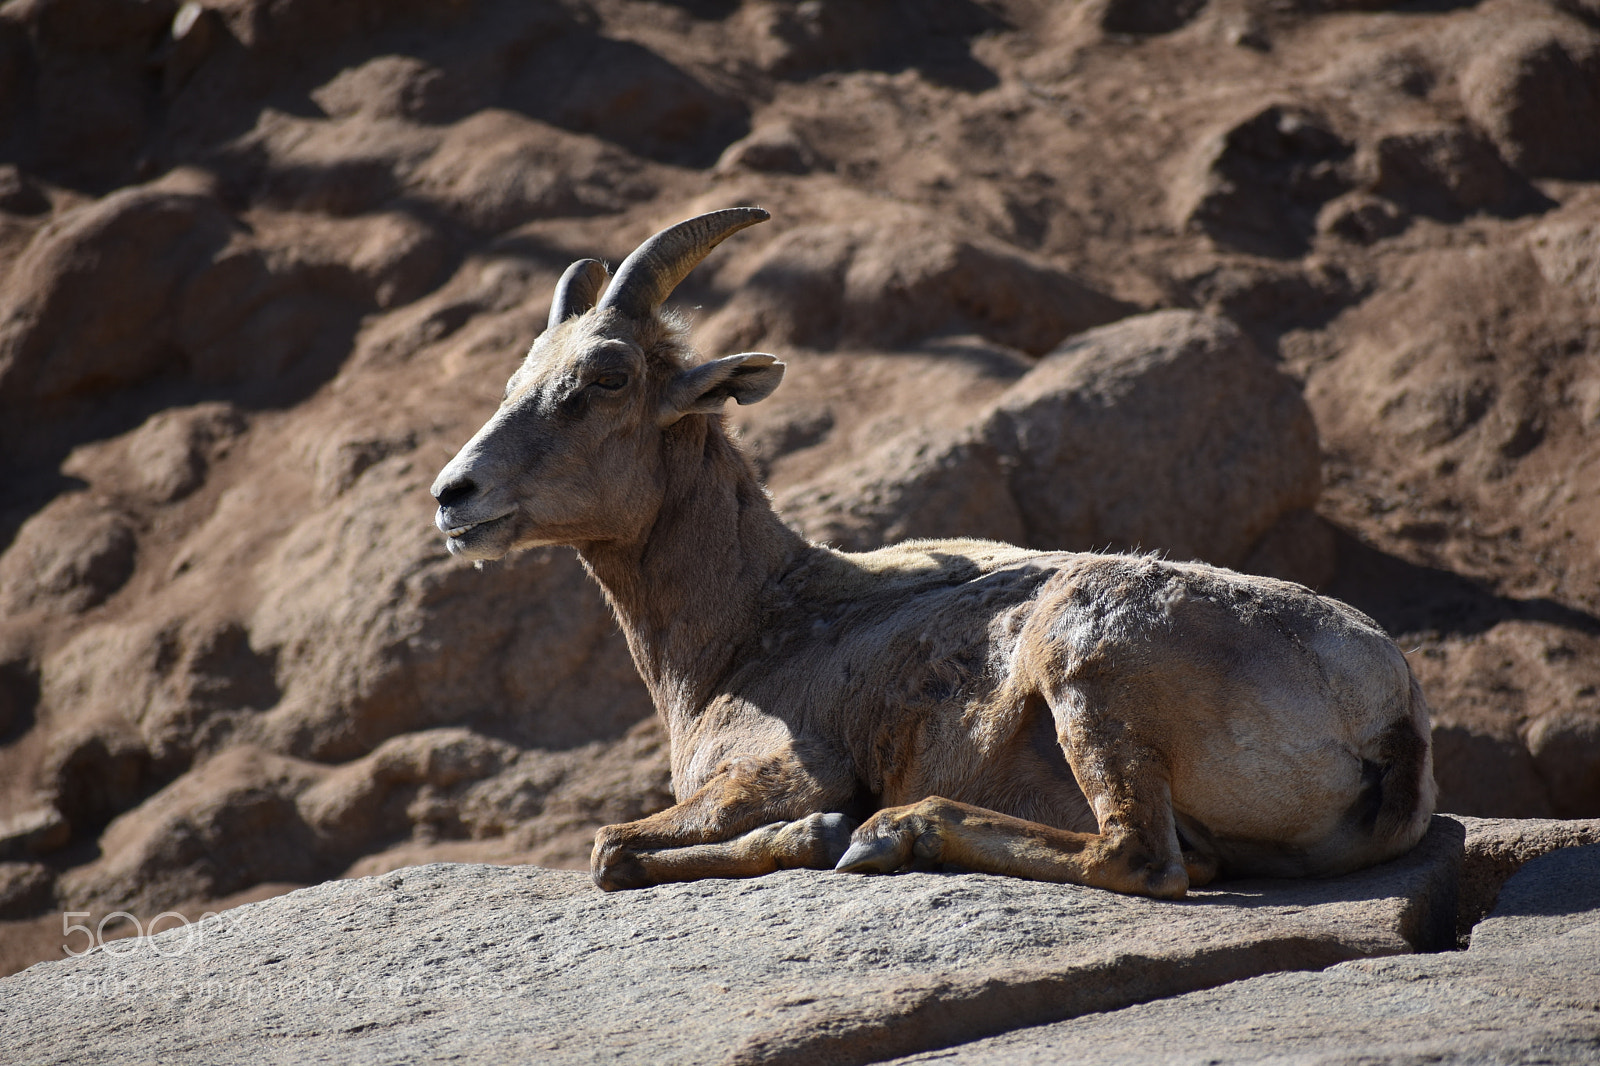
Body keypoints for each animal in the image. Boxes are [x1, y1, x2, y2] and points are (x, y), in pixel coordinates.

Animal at [431, 208, 1436, 898]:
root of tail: (1391, 710)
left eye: (607, 376)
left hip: (1088, 670)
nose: (455, 495)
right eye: (519, 376)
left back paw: (894, 833)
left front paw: (825, 834)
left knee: (1142, 858)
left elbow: (612, 846)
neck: (751, 629)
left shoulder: (781, 771)